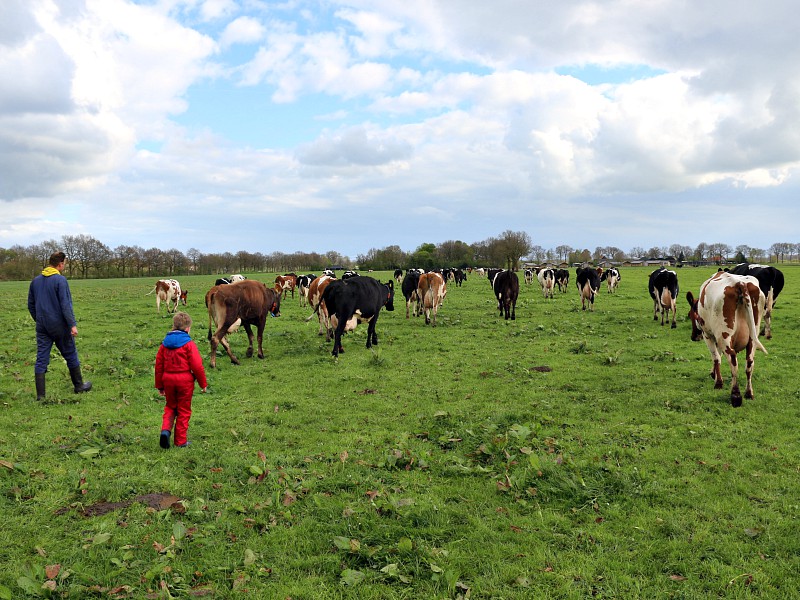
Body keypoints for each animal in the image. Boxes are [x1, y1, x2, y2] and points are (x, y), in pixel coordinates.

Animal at [684, 272, 764, 408]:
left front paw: (718, 382)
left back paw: (735, 395)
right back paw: (749, 393)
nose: (693, 337)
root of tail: (740, 284)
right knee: (749, 363)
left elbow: (716, 357)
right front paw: (714, 375)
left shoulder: (708, 335)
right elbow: (719, 356)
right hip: (753, 337)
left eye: (690, 315)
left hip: (724, 336)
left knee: (733, 361)